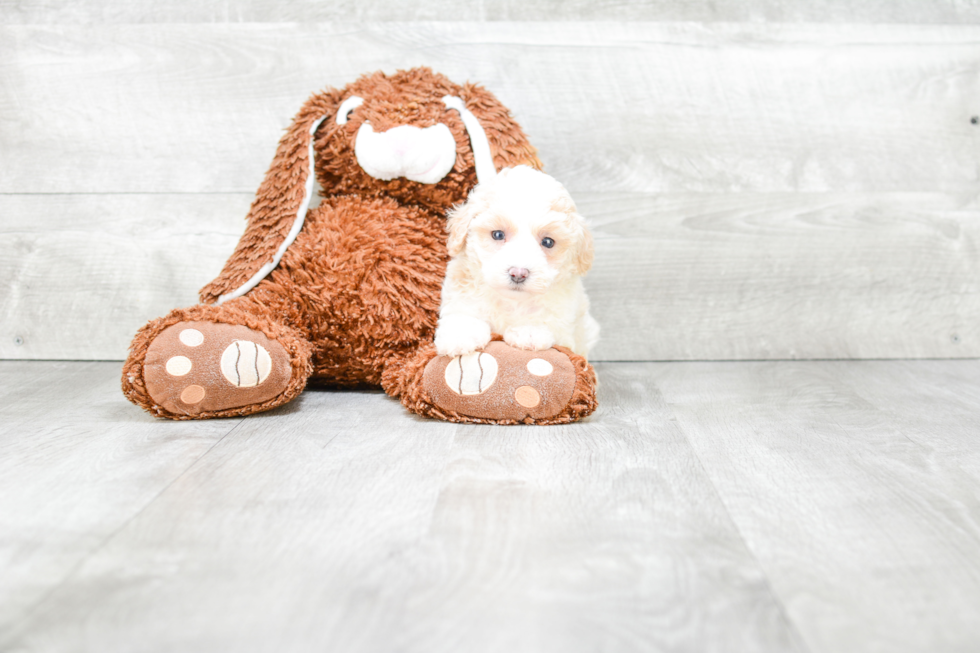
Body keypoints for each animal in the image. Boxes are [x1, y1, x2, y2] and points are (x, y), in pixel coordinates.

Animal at [434, 163, 596, 360]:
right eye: (498, 234)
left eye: (548, 242)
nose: (518, 273)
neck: (510, 301)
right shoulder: (460, 294)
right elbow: (462, 312)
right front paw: (461, 336)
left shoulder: (565, 322)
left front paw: (529, 331)